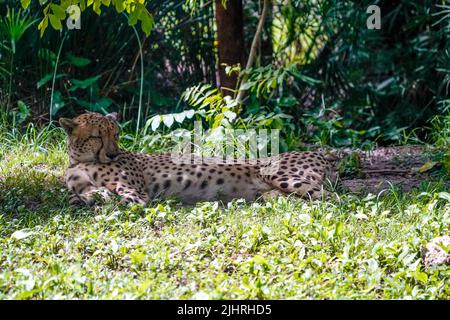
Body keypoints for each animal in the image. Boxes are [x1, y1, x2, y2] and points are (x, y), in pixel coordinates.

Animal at [59, 112, 334, 206]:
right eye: (97, 136)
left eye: (115, 134)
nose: (113, 153)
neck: (82, 160)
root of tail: (319, 152)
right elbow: (80, 194)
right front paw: (84, 199)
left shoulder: (137, 195)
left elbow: (119, 201)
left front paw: (95, 202)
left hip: (276, 173)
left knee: (332, 198)